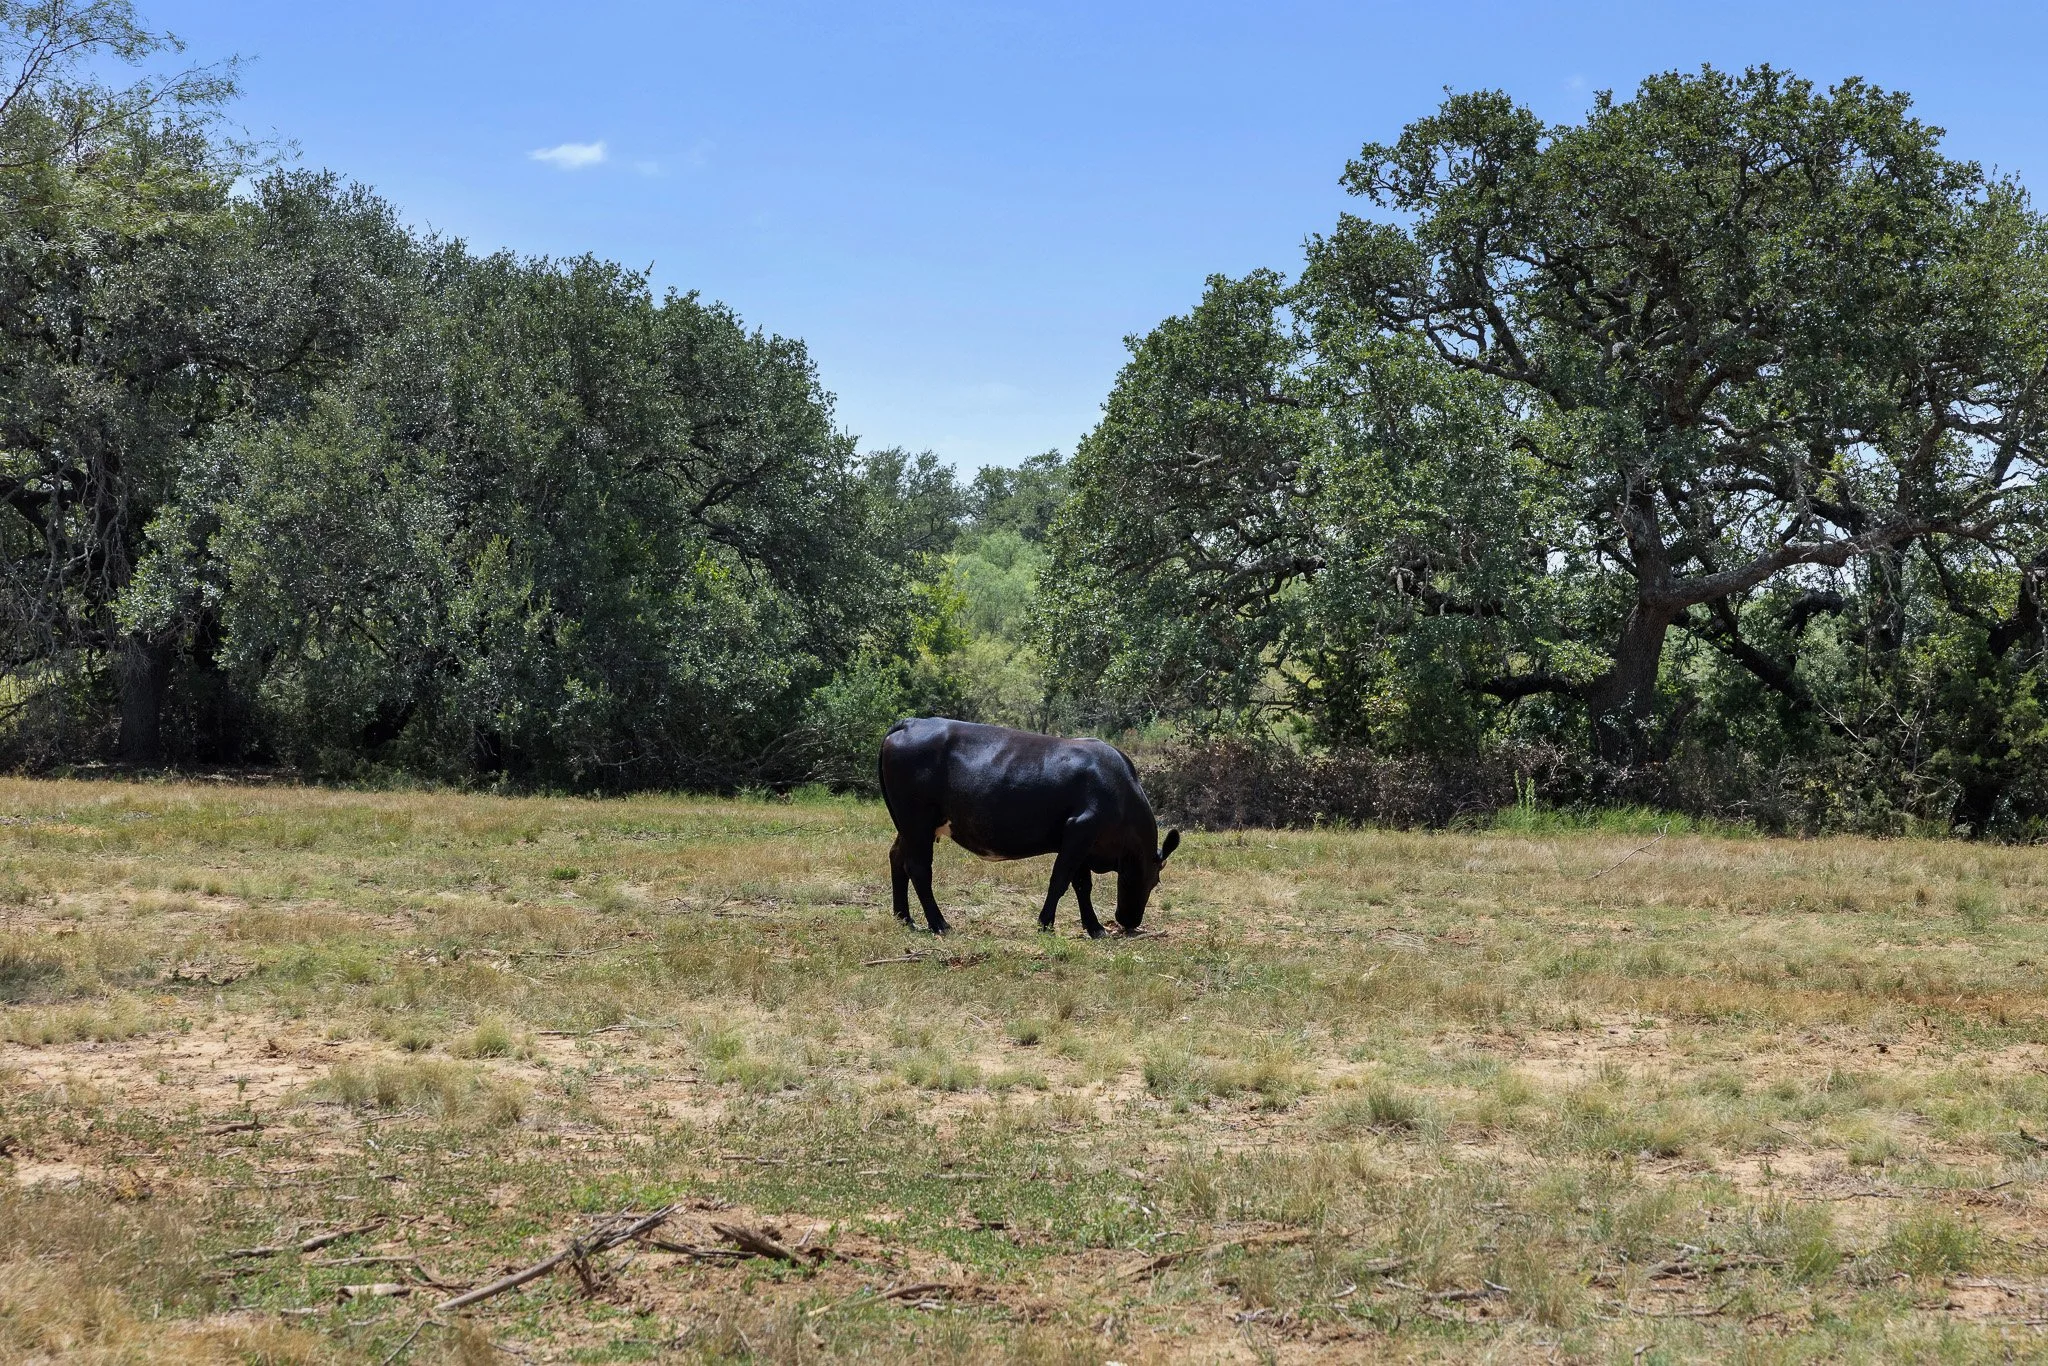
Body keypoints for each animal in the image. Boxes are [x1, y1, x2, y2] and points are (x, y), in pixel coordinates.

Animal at [876, 717, 1181, 937]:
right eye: (1154, 880)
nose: (1130, 921)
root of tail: (911, 722)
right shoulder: (1082, 828)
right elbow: (1060, 880)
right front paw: (1045, 923)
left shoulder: (1081, 840)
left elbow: (1082, 885)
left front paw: (1094, 928)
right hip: (917, 822)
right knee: (918, 868)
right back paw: (939, 924)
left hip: (908, 826)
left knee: (897, 858)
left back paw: (904, 917)